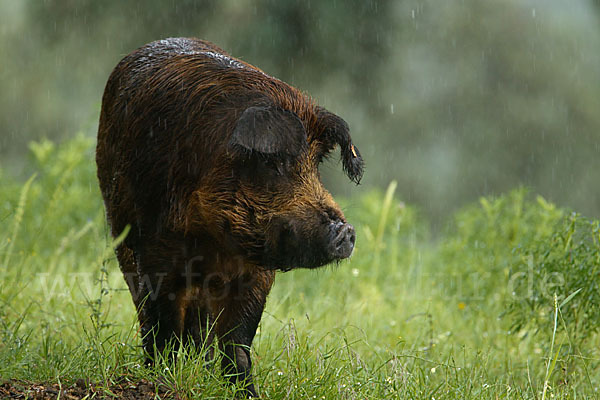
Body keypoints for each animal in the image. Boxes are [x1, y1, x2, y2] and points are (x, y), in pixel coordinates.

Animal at [96, 38, 364, 396]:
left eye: (316, 164)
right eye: (274, 163)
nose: (344, 230)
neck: (212, 239)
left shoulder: (256, 275)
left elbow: (238, 341)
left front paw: (246, 392)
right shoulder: (154, 251)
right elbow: (163, 327)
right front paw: (163, 380)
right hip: (122, 241)